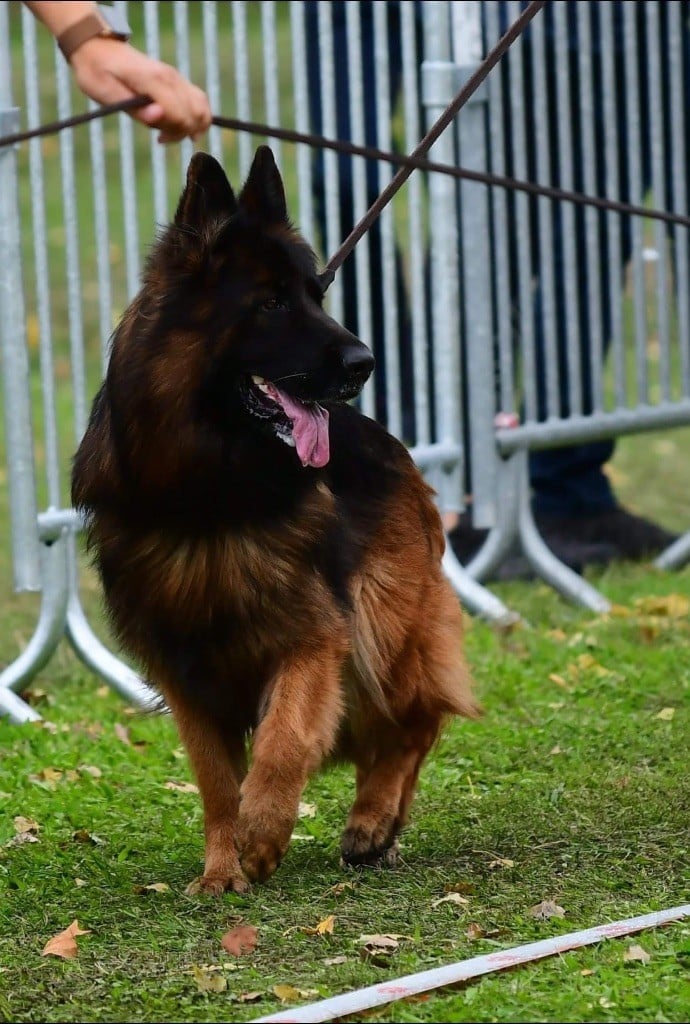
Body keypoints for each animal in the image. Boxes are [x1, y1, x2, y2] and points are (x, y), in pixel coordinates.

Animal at [71, 148, 479, 892]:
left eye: (316, 296)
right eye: (270, 303)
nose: (365, 362)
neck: (212, 494)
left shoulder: (313, 636)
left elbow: (284, 740)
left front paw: (262, 832)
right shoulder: (185, 670)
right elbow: (213, 779)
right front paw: (221, 867)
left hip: (382, 624)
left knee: (413, 722)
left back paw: (373, 819)